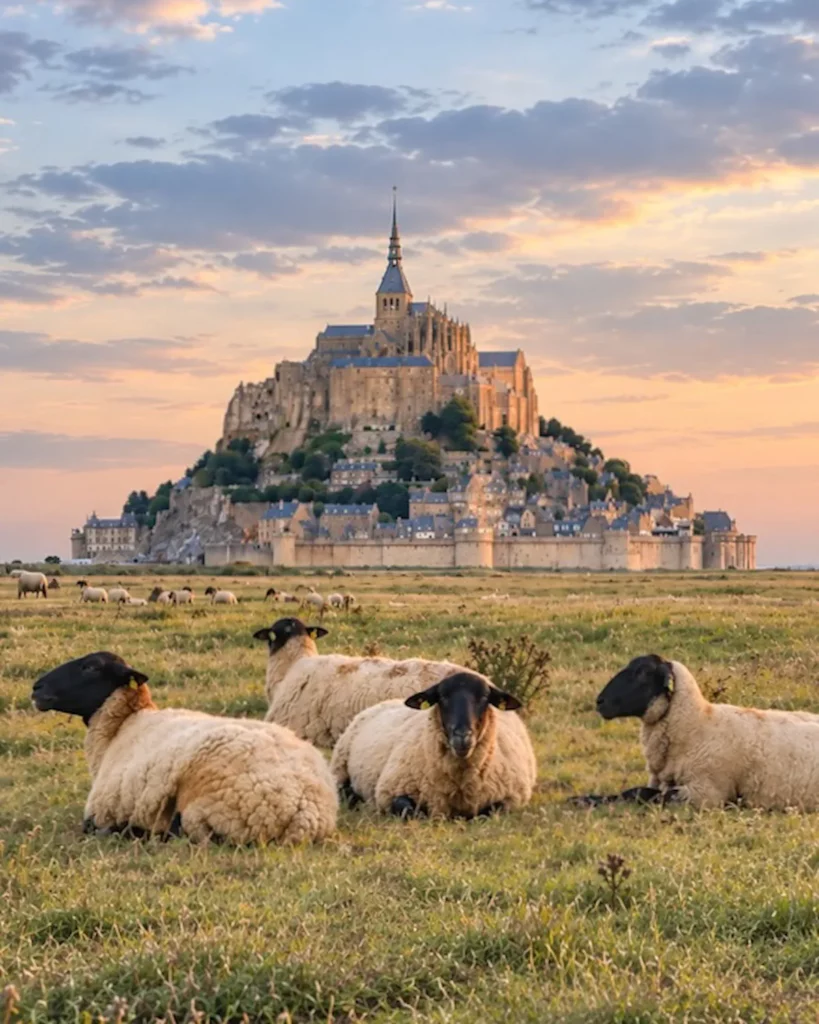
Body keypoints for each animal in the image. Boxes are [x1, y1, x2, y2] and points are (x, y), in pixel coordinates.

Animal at [31, 651, 338, 845]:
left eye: (91, 667)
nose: (36, 688)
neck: (122, 728)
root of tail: (307, 810)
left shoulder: (100, 812)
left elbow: (93, 827)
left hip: (210, 807)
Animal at [330, 671, 537, 819]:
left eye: (485, 698)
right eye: (442, 697)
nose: (462, 736)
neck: (460, 785)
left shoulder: (512, 797)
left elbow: (491, 812)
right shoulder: (388, 792)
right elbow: (410, 811)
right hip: (340, 766)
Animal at [582, 654, 819, 811]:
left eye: (642, 673)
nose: (600, 701)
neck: (698, 722)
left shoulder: (706, 793)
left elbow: (643, 794)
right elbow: (630, 791)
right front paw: (586, 799)